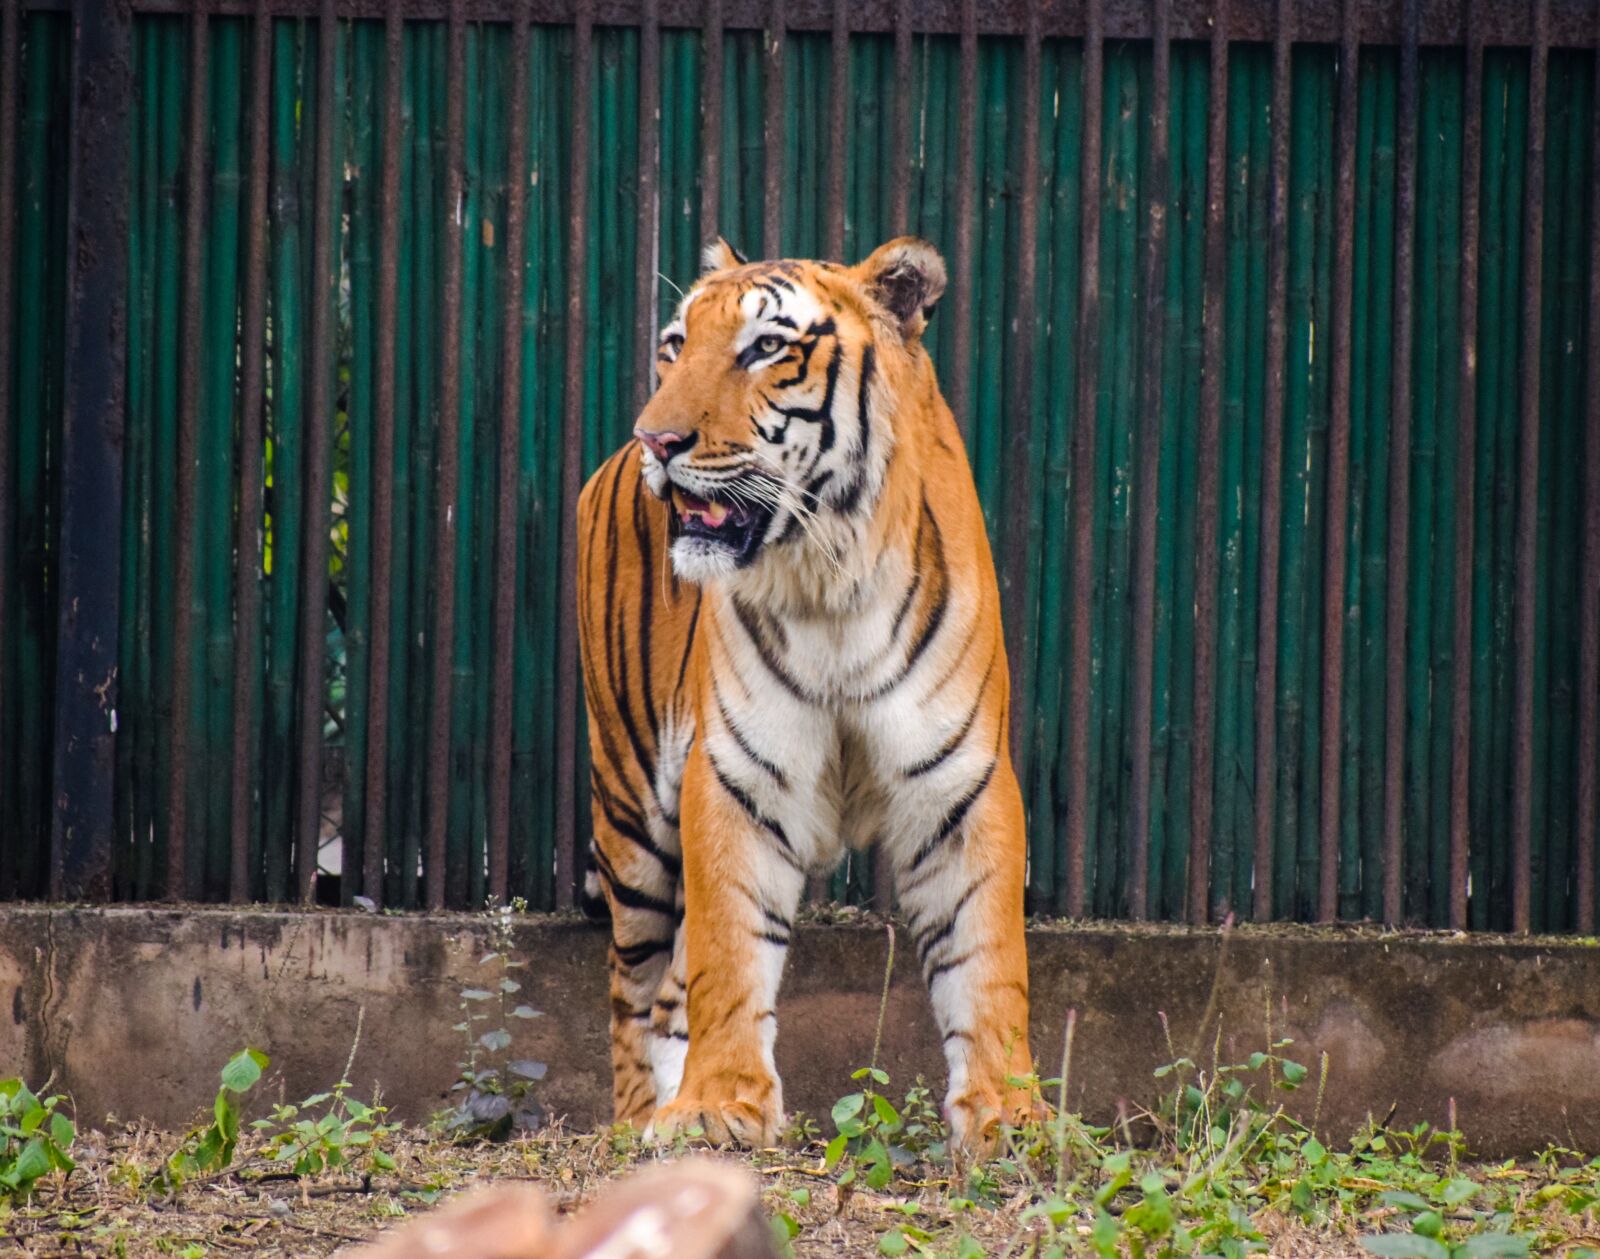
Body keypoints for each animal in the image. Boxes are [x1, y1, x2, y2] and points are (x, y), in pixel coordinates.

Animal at [575, 236, 1035, 1149]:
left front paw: (1011, 1114)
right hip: (630, 812)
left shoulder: (963, 782)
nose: (656, 439)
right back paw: (637, 1119)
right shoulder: (734, 776)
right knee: (633, 988)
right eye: (675, 344)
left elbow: (987, 954)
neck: (831, 579)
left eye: (765, 347)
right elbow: (729, 955)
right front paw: (715, 1106)